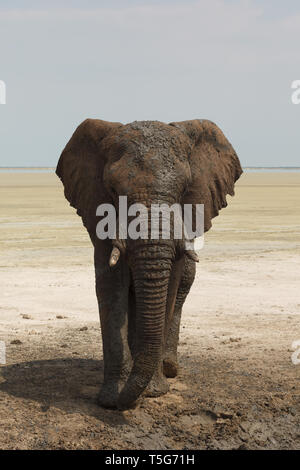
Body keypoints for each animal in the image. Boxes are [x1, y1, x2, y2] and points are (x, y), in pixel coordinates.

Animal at [56, 119, 243, 410]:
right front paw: (111, 400)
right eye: (112, 190)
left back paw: (169, 368)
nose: (125, 403)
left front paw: (154, 392)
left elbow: (171, 285)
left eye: (185, 188)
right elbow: (111, 286)